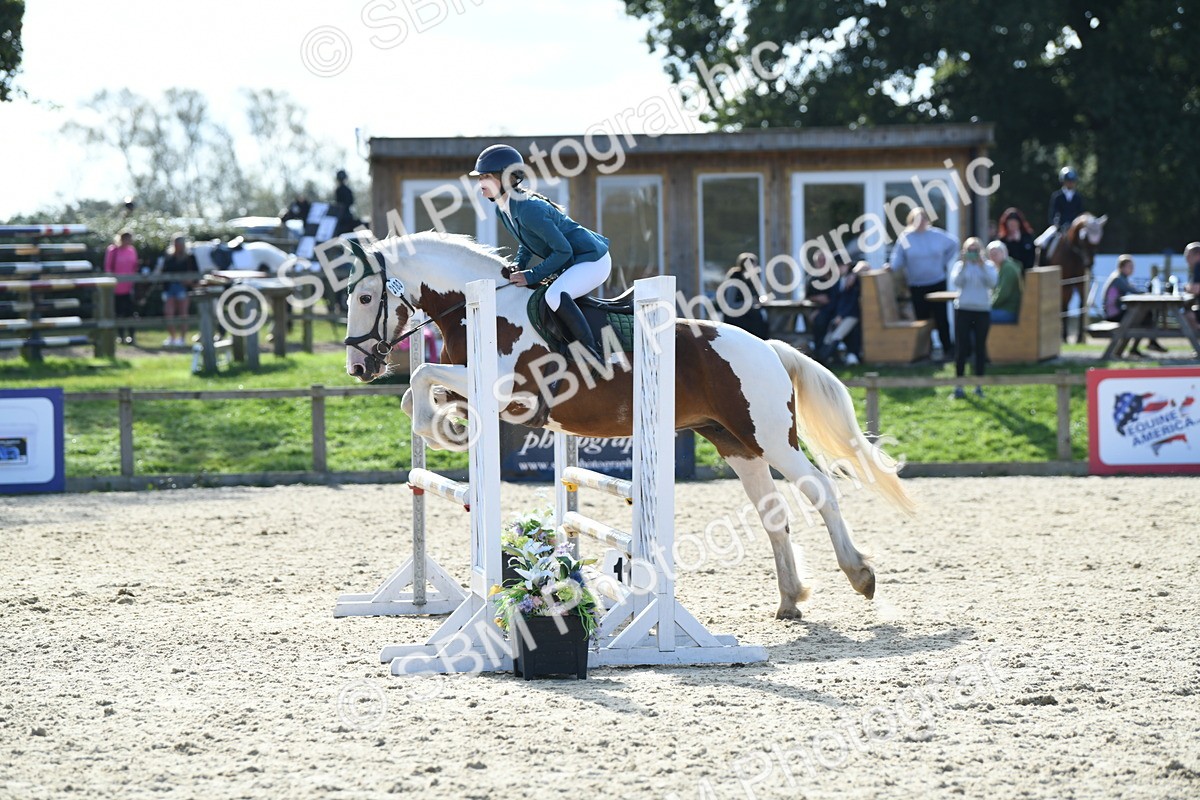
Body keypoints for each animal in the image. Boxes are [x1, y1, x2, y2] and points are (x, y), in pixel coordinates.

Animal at [342, 232, 915, 621]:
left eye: (366, 298)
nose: (357, 368)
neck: (480, 307)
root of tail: (766, 346)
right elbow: (420, 388)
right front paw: (446, 423)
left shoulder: (509, 395)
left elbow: (420, 377)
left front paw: (441, 429)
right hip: (736, 443)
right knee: (772, 512)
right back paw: (790, 599)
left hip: (772, 437)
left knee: (819, 490)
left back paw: (860, 575)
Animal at [1039, 213, 1107, 343]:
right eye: (1084, 238)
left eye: (1099, 240)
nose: (1089, 263)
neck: (1073, 252)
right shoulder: (1063, 283)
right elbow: (1064, 307)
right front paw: (1064, 336)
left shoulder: (1080, 284)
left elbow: (1081, 306)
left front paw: (1079, 337)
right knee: (1064, 305)